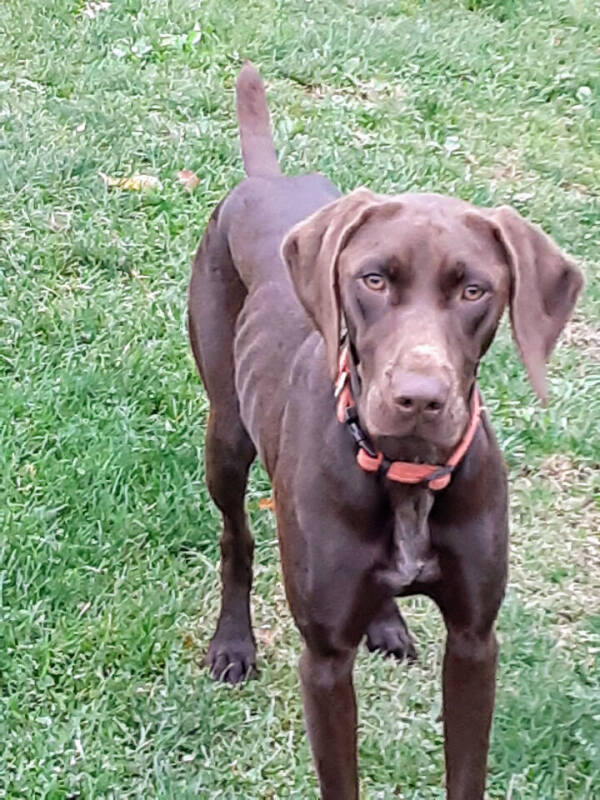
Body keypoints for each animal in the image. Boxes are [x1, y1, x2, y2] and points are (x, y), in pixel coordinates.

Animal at [188, 65, 580, 796]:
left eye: (475, 291)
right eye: (372, 280)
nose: (419, 398)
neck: (407, 473)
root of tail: (267, 179)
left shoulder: (475, 641)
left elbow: (466, 770)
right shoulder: (324, 658)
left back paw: (388, 622)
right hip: (226, 434)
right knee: (236, 537)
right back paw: (233, 642)